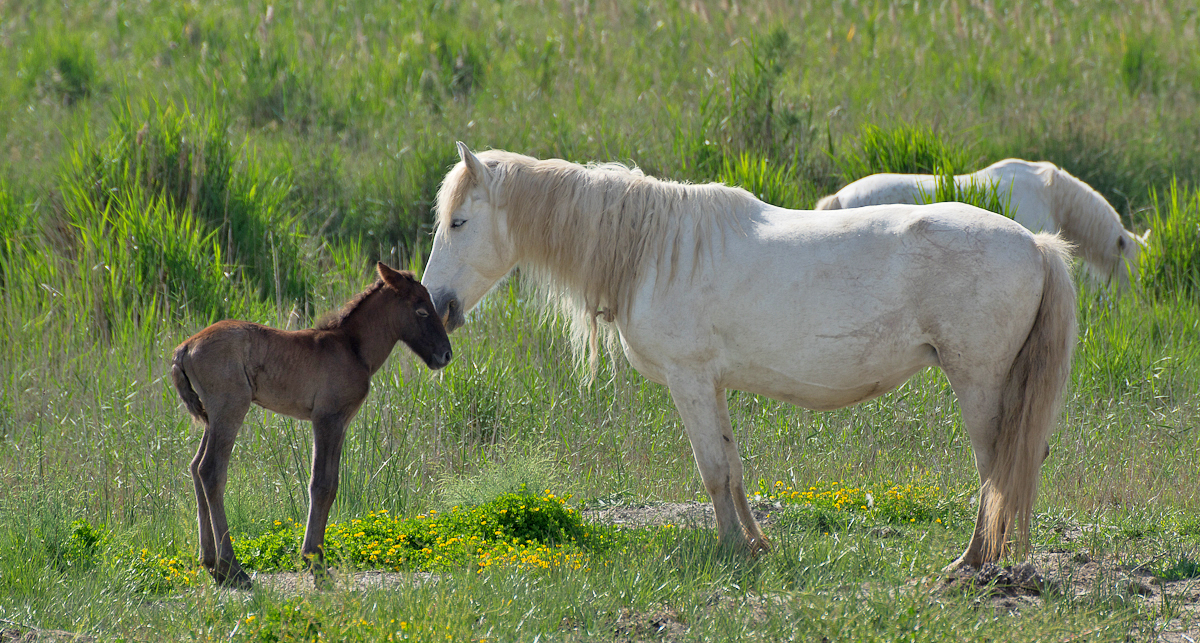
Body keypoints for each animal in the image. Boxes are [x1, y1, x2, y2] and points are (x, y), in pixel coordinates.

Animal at [424, 144, 1080, 568]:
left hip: (979, 381)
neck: (653, 249)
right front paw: (756, 544)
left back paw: (972, 563)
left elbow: (712, 471)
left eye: (459, 221)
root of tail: (1037, 245)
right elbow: (733, 469)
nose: (438, 306)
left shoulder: (688, 381)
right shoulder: (712, 385)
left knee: (997, 467)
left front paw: (731, 552)